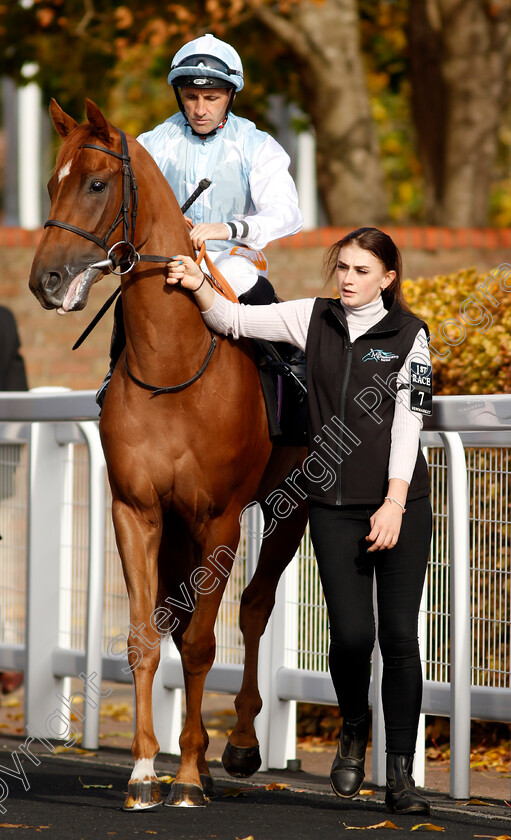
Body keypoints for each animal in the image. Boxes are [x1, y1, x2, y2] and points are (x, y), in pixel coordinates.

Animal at [30, 100, 310, 812]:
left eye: (96, 183)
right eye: (49, 184)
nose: (44, 280)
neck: (174, 364)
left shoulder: (220, 517)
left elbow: (205, 641)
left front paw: (183, 778)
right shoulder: (137, 508)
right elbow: (146, 639)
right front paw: (143, 772)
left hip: (286, 509)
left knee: (255, 607)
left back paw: (237, 747)